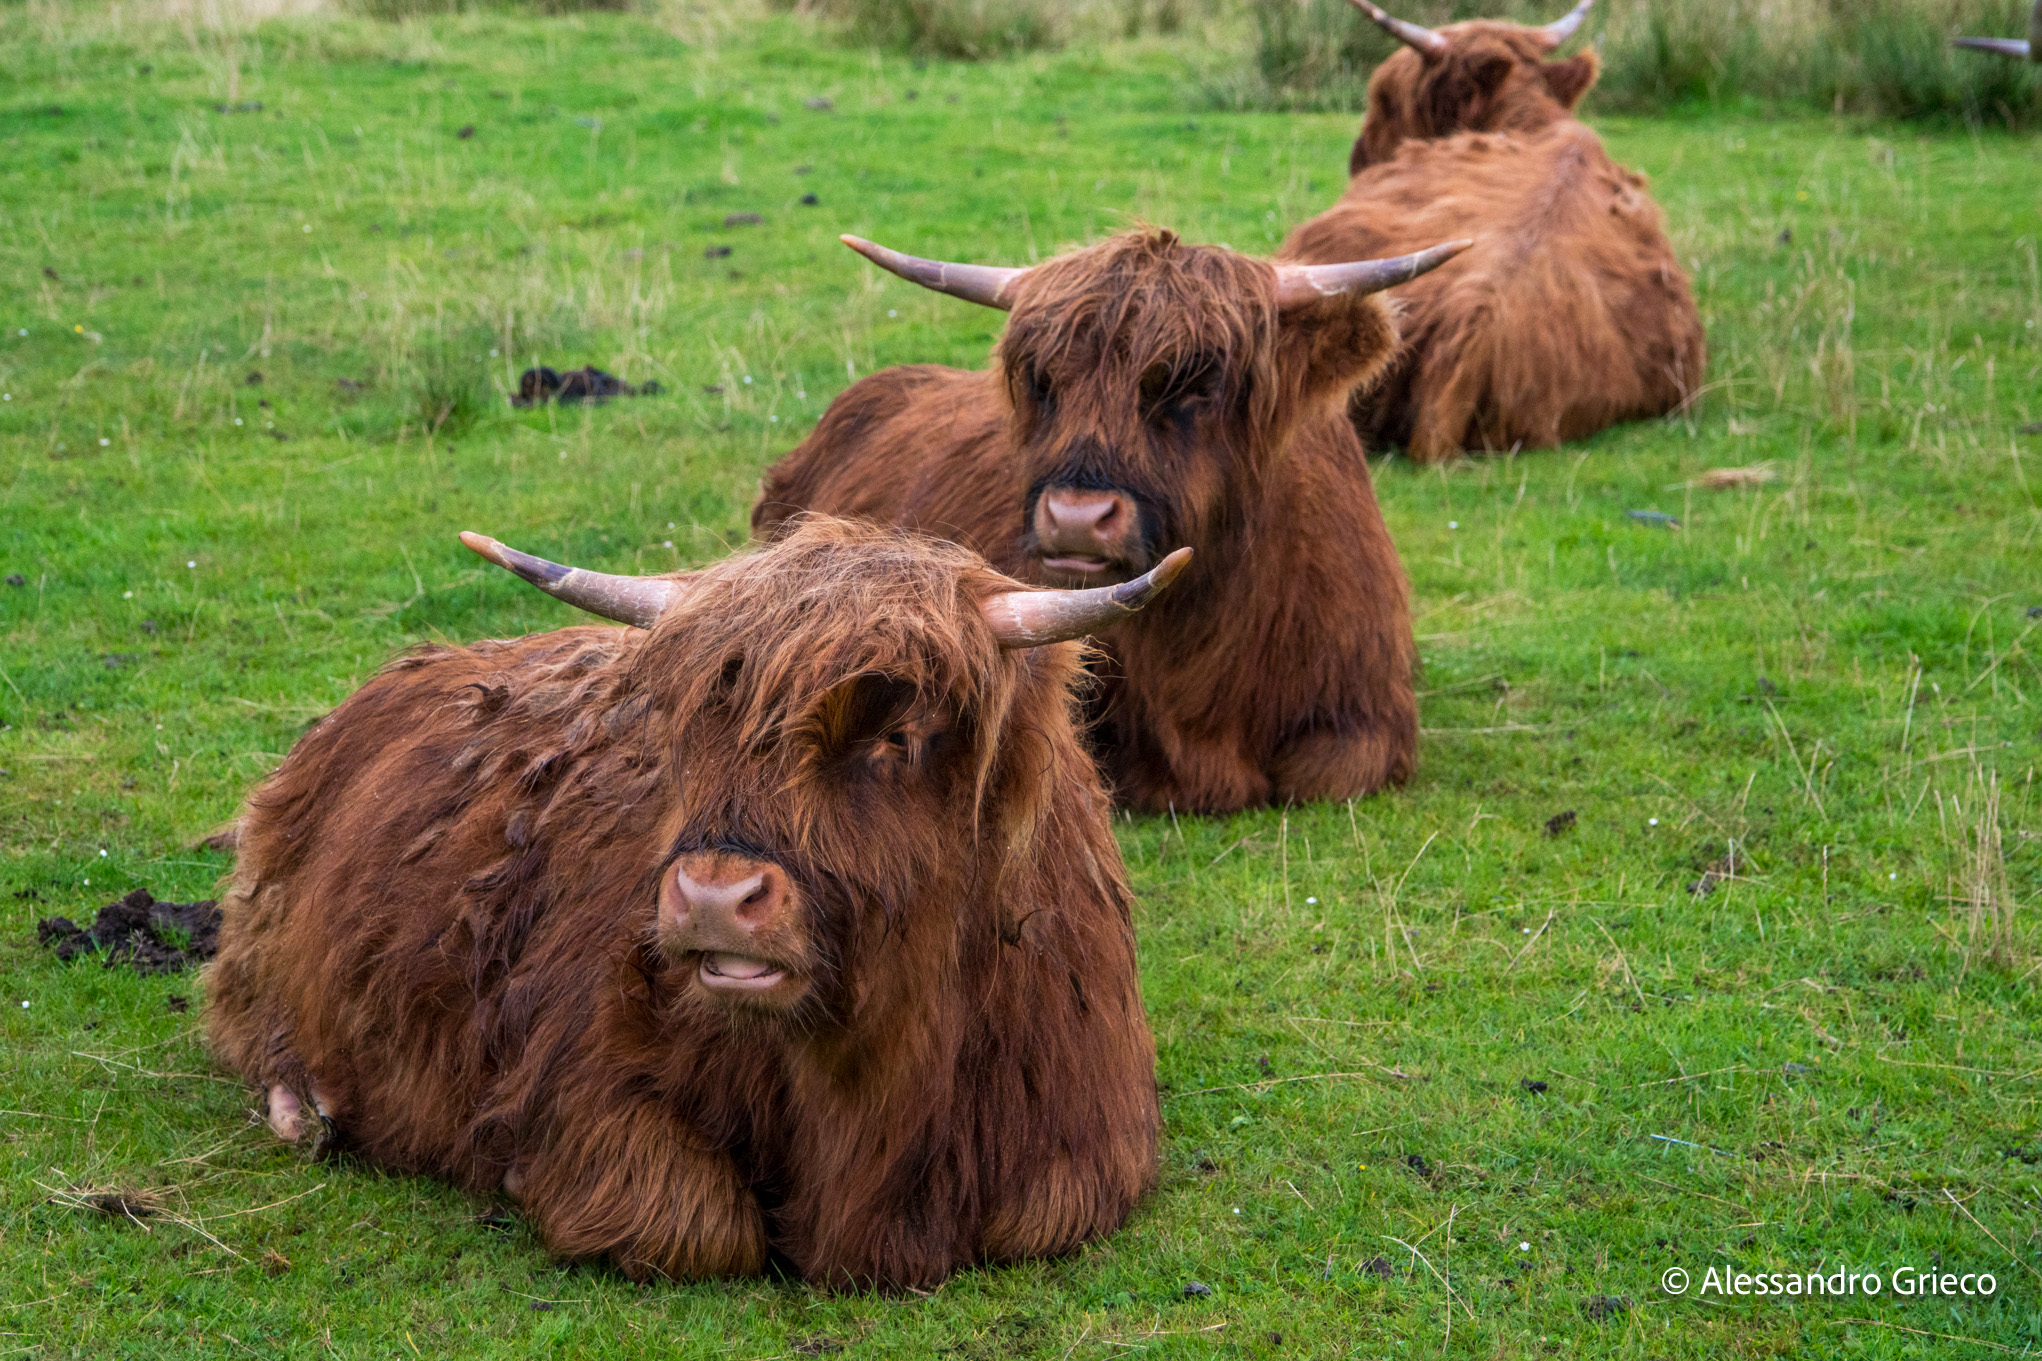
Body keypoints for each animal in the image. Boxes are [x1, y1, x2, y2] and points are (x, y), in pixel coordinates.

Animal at [203, 516, 1187, 1290]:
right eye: (692, 729)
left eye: (899, 736)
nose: (713, 895)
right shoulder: (588, 1074)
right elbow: (695, 1226)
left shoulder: (1085, 1137)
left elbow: (1043, 1211)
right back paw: (309, 1109)